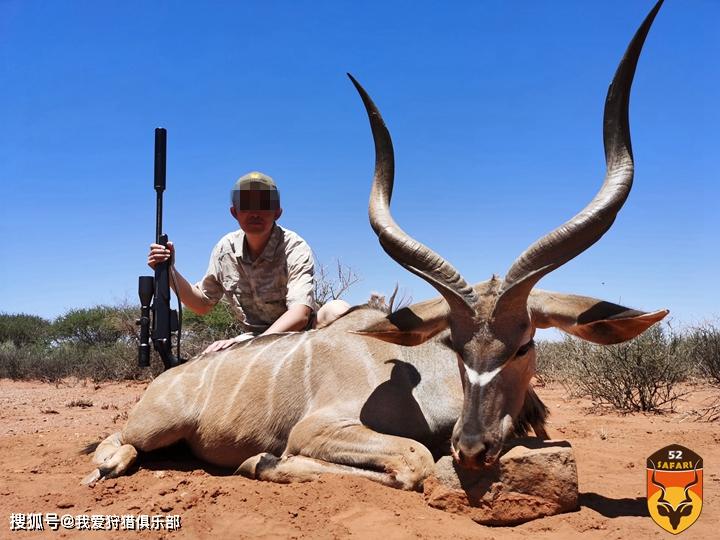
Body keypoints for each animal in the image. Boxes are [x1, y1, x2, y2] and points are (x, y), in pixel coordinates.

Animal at [84, 0, 668, 490]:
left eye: (524, 345)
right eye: (456, 345)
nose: (472, 449)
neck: (422, 375)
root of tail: (170, 377)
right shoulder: (319, 429)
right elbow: (413, 459)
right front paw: (262, 461)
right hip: (155, 426)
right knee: (119, 443)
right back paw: (108, 466)